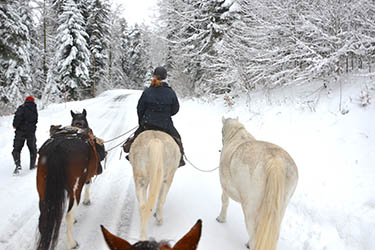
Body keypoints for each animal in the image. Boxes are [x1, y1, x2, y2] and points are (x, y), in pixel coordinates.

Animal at [36, 110, 100, 250]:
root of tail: (57, 148)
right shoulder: (85, 178)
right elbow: (88, 185)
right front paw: (87, 201)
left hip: (42, 188)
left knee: (43, 216)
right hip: (76, 188)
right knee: (68, 215)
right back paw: (72, 243)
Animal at [217, 117, 300, 250]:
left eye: (221, 132)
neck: (237, 136)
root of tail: (275, 159)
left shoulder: (225, 186)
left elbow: (224, 201)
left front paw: (221, 218)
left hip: (250, 209)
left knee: (254, 236)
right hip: (280, 210)